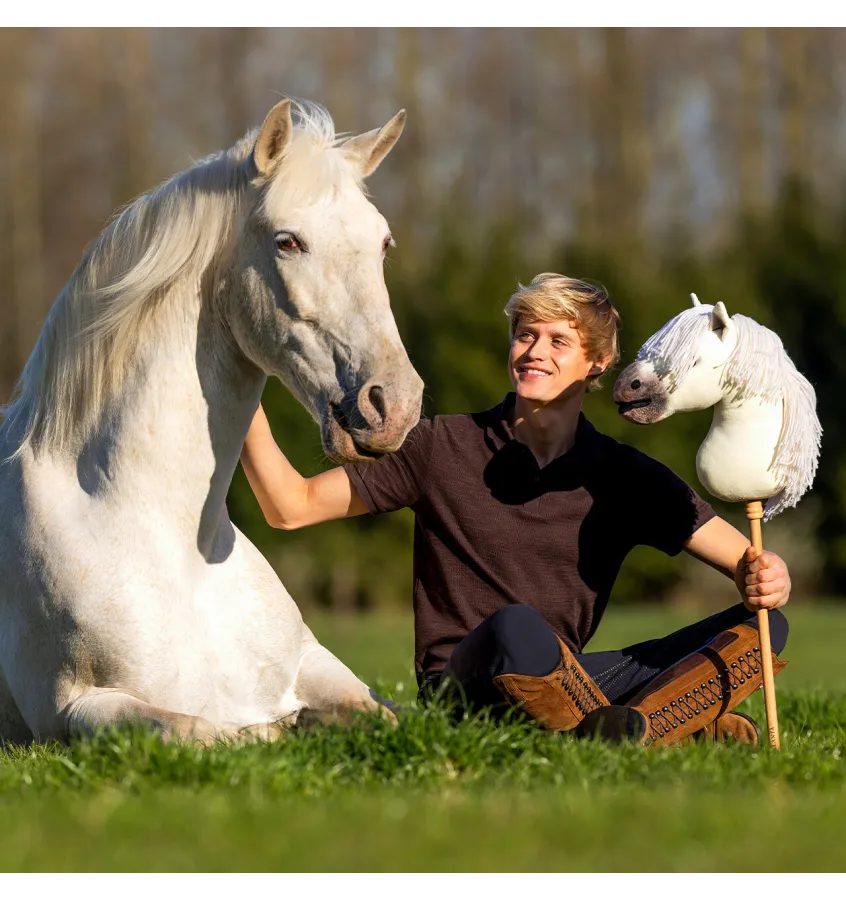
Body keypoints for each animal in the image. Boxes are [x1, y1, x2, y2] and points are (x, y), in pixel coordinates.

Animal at [0, 99, 424, 745]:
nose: (394, 406)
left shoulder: (315, 664)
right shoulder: (71, 711)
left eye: (382, 244)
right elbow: (212, 731)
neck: (178, 549)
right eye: (287, 242)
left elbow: (388, 715)